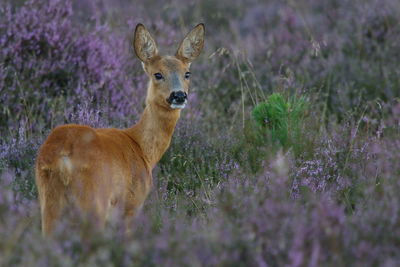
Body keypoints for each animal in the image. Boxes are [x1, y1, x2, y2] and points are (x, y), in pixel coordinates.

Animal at [35, 23, 206, 237]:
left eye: (187, 73)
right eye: (158, 74)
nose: (179, 95)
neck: (141, 147)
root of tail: (64, 158)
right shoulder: (131, 204)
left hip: (49, 201)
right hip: (95, 200)